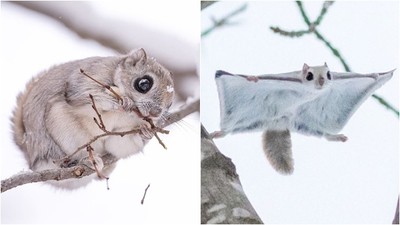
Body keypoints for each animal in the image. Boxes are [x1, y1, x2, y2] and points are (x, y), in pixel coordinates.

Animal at [12, 48, 173, 188]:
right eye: (144, 84)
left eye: (170, 104)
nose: (155, 113)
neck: (126, 115)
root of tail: (32, 158)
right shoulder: (89, 77)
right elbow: (83, 94)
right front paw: (123, 101)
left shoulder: (122, 133)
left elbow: (121, 144)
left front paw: (145, 131)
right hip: (62, 133)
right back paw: (87, 161)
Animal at [212, 62, 394, 174]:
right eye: (309, 75)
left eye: (329, 74)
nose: (321, 81)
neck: (309, 92)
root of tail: (280, 123)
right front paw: (252, 78)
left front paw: (375, 75)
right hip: (248, 121)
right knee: (231, 130)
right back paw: (218, 133)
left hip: (307, 124)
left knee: (323, 134)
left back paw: (335, 137)